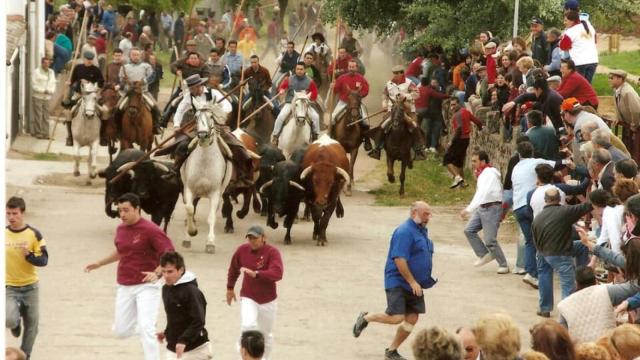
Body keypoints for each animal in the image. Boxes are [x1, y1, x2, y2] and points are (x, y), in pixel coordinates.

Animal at [180, 100, 232, 255]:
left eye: (211, 117)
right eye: (196, 117)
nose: (202, 136)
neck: (204, 163)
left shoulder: (214, 193)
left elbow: (211, 217)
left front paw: (210, 243)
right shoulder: (189, 189)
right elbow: (189, 210)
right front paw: (191, 233)